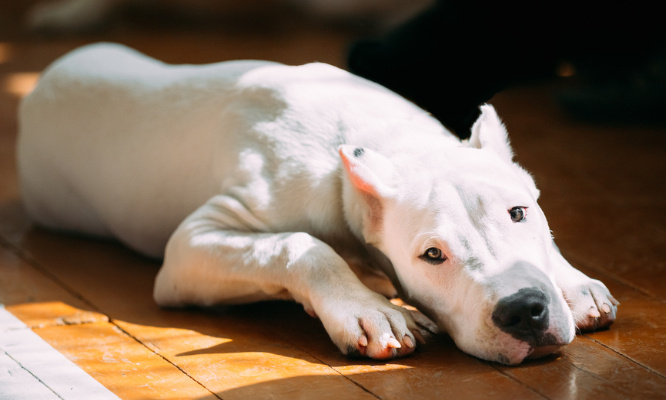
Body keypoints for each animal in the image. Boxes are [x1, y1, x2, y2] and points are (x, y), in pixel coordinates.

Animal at [16, 43, 616, 362]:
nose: (524, 311)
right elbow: (300, 246)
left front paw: (574, 282)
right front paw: (370, 310)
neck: (387, 146)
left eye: (520, 213)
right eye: (433, 256)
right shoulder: (192, 244)